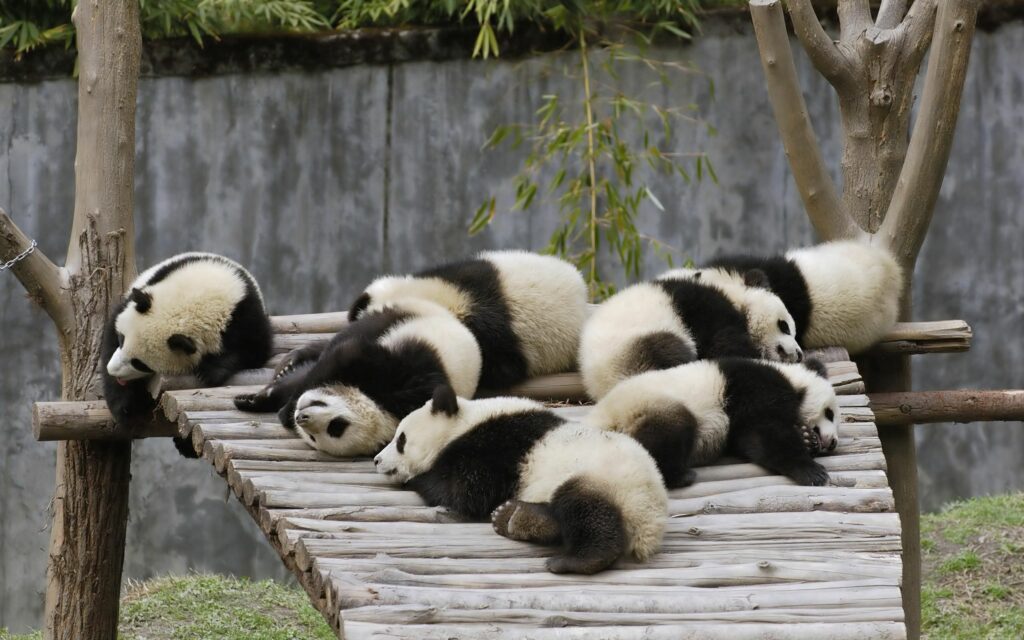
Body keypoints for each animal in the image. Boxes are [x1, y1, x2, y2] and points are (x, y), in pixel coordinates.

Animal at [102, 253, 273, 445]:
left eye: (139, 363)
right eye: (122, 340)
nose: (112, 370)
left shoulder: (244, 315)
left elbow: (255, 350)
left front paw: (210, 371)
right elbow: (110, 334)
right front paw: (124, 406)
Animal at [234, 298, 482, 457]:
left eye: (333, 429)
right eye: (338, 424)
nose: (301, 418)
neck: (384, 407)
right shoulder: (402, 375)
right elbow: (345, 354)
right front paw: (272, 403)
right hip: (401, 317)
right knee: (349, 335)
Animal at [374, 386, 667, 575]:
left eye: (401, 440)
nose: (376, 460)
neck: (465, 422)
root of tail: (650, 522)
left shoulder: (495, 446)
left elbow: (467, 491)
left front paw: (418, 478)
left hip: (606, 479)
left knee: (586, 509)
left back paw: (574, 560)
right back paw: (515, 518)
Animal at [579, 270, 803, 400]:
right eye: (784, 326)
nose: (799, 354)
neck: (733, 294)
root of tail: (599, 385)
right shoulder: (705, 309)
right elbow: (725, 344)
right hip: (632, 346)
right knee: (669, 351)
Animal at [585, 357, 839, 489]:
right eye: (829, 413)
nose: (833, 442)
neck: (792, 380)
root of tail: (599, 422)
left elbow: (749, 441)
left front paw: (807, 439)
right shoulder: (754, 389)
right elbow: (765, 434)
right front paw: (812, 471)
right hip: (646, 407)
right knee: (670, 432)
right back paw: (680, 476)